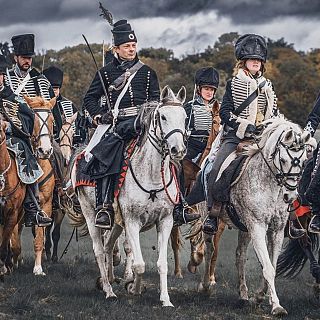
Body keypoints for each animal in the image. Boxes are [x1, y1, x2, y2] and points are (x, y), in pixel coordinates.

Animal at [69, 86, 186, 306]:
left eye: (184, 116)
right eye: (163, 116)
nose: (178, 150)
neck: (151, 177)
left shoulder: (165, 221)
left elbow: (162, 264)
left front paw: (165, 299)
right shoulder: (132, 221)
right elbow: (140, 264)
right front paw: (134, 288)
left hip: (116, 222)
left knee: (108, 246)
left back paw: (109, 279)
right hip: (90, 213)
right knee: (99, 250)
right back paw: (108, 289)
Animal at [201, 117, 316, 316]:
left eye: (302, 161)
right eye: (283, 159)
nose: (290, 196)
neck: (268, 184)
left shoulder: (276, 231)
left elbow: (271, 265)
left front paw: (259, 297)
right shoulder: (257, 227)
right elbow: (268, 267)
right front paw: (276, 306)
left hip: (244, 228)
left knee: (239, 255)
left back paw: (243, 295)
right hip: (211, 220)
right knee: (209, 248)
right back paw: (206, 286)